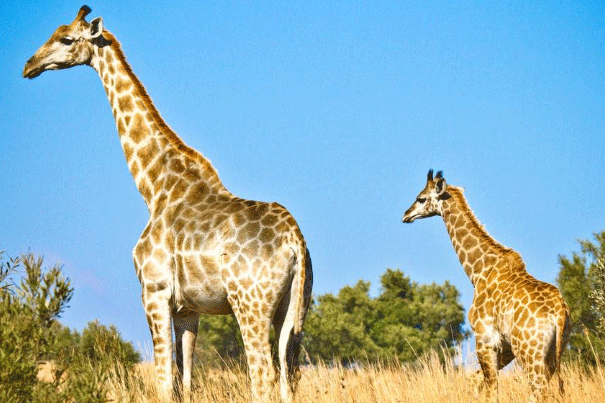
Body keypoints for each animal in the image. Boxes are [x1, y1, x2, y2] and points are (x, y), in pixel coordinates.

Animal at [21, 6, 314, 403]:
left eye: (66, 39)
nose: (29, 65)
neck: (154, 186)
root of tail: (294, 241)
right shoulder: (188, 308)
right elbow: (185, 381)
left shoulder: (154, 292)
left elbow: (162, 381)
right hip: (295, 309)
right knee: (289, 376)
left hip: (250, 304)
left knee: (263, 377)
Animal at [404, 169, 568, 402]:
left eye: (421, 198)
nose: (406, 215)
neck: (478, 272)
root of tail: (559, 314)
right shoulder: (505, 345)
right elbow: (476, 381)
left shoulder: (484, 339)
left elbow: (491, 388)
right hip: (554, 353)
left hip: (530, 353)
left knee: (539, 392)